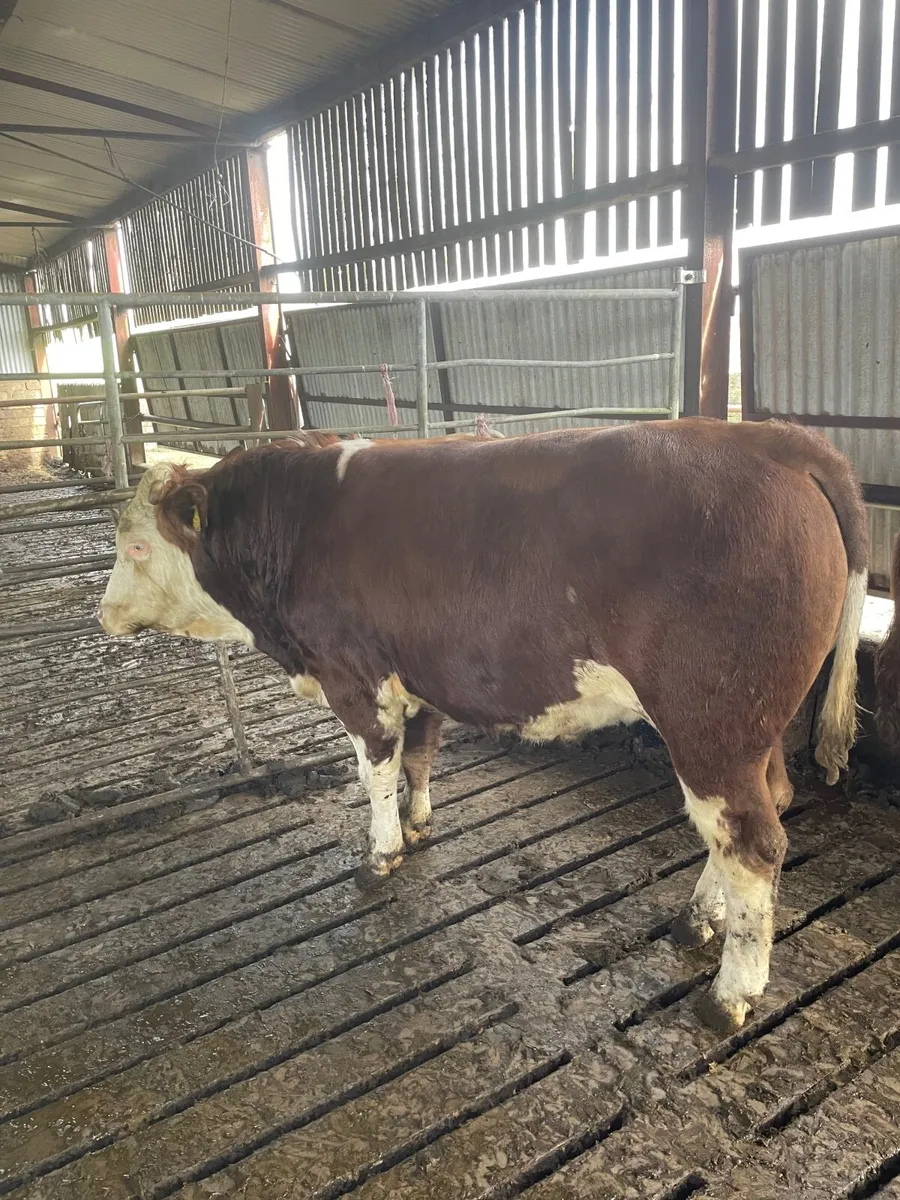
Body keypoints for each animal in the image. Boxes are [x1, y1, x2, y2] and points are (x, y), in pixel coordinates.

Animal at [100, 418, 869, 1033]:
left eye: (136, 547)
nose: (103, 615)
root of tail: (767, 437)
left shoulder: (354, 676)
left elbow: (375, 770)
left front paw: (380, 853)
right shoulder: (419, 677)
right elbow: (418, 757)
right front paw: (417, 827)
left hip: (711, 725)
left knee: (752, 843)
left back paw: (729, 994)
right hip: (754, 730)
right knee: (762, 811)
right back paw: (698, 920)